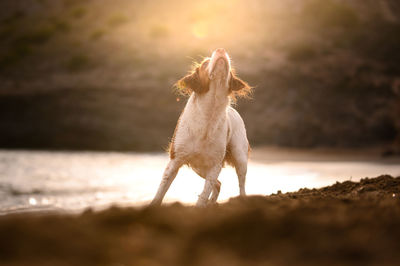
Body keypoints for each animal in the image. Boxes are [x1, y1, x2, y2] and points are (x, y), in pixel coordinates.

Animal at [150, 47, 250, 207]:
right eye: (205, 64)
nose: (221, 49)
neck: (209, 113)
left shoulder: (215, 165)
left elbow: (204, 192)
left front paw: (200, 206)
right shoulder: (175, 160)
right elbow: (161, 190)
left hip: (239, 156)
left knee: (240, 184)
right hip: (199, 167)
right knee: (219, 184)